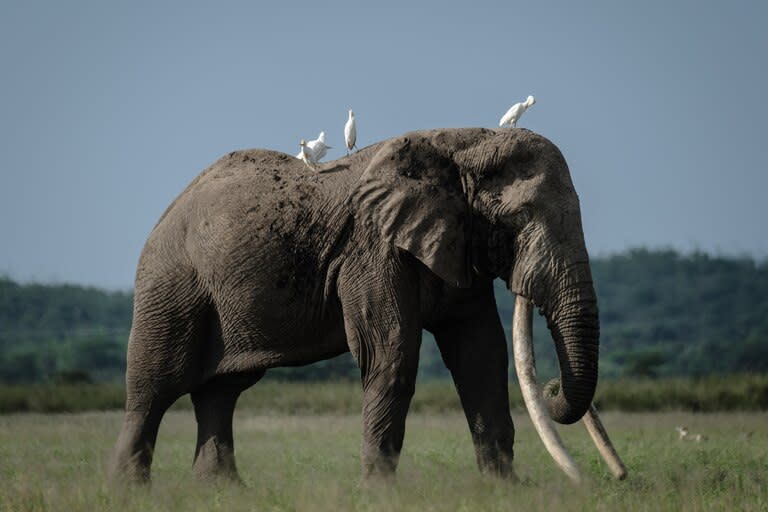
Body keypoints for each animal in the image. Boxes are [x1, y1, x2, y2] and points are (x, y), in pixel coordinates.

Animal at [109, 127, 624, 484]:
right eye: (517, 219)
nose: (553, 388)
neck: (461, 143)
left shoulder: (456, 244)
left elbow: (481, 356)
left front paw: (505, 489)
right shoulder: (372, 248)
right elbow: (391, 353)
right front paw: (380, 493)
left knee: (221, 391)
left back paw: (223, 493)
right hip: (172, 284)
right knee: (154, 387)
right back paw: (130, 492)